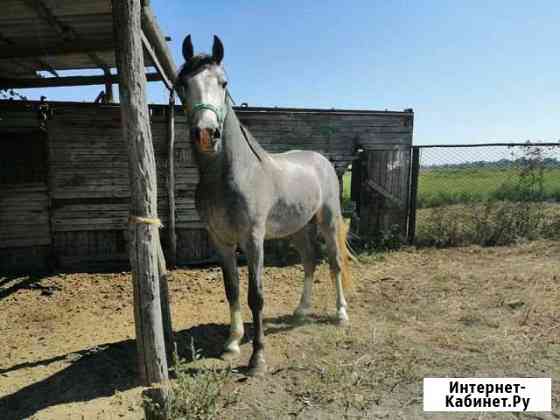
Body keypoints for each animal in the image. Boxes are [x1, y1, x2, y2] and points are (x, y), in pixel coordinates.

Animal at [176, 35, 354, 378]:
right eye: (183, 84)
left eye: (224, 82)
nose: (206, 133)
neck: (234, 174)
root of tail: (322, 160)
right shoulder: (220, 240)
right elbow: (232, 290)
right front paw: (232, 344)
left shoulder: (253, 239)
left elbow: (255, 296)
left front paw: (257, 358)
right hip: (299, 228)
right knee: (310, 261)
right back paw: (301, 311)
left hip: (327, 220)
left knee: (334, 263)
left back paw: (340, 314)